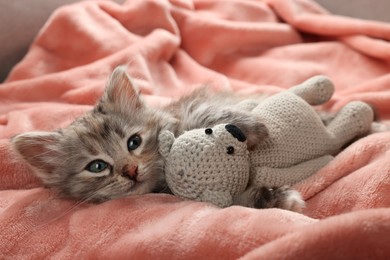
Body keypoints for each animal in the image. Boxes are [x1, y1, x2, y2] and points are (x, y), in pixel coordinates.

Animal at [10, 67, 304, 211]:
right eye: (97, 166)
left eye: (133, 142)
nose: (130, 170)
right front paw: (275, 199)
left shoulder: (190, 108)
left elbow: (211, 116)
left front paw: (255, 127)